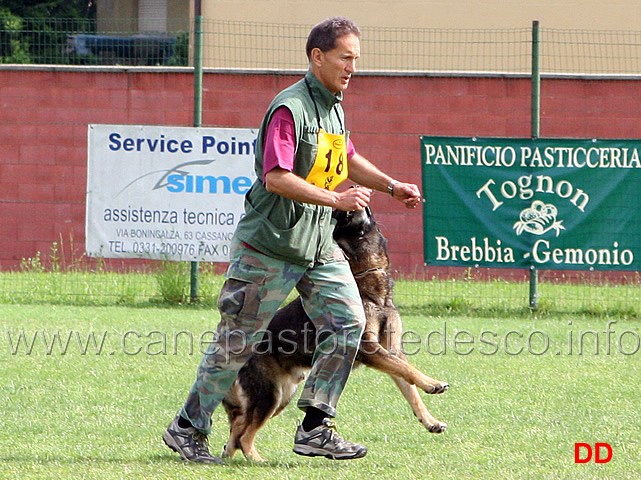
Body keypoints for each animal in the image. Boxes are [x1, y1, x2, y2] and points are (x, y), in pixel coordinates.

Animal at [222, 207, 448, 462]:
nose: (350, 196)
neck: (365, 274)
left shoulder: (392, 351)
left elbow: (409, 385)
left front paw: (430, 420)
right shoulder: (370, 349)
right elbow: (408, 370)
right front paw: (433, 383)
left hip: (282, 397)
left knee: (237, 427)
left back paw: (229, 455)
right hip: (270, 397)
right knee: (244, 434)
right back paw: (256, 460)